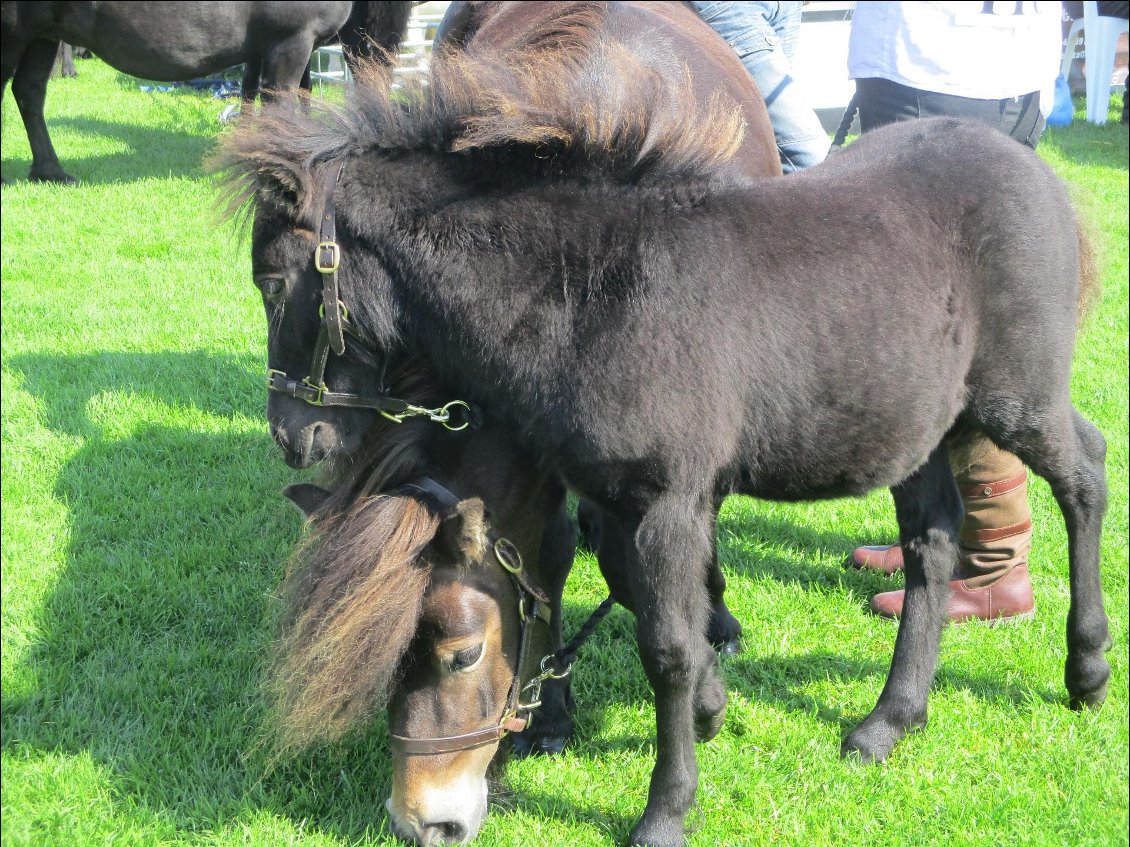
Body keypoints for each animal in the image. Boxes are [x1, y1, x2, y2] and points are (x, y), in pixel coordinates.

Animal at [0, 0, 415, 180]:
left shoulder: (275, 48)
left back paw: (50, 170)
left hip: (43, 35)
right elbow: (280, 108)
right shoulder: (290, 43)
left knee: (29, 92)